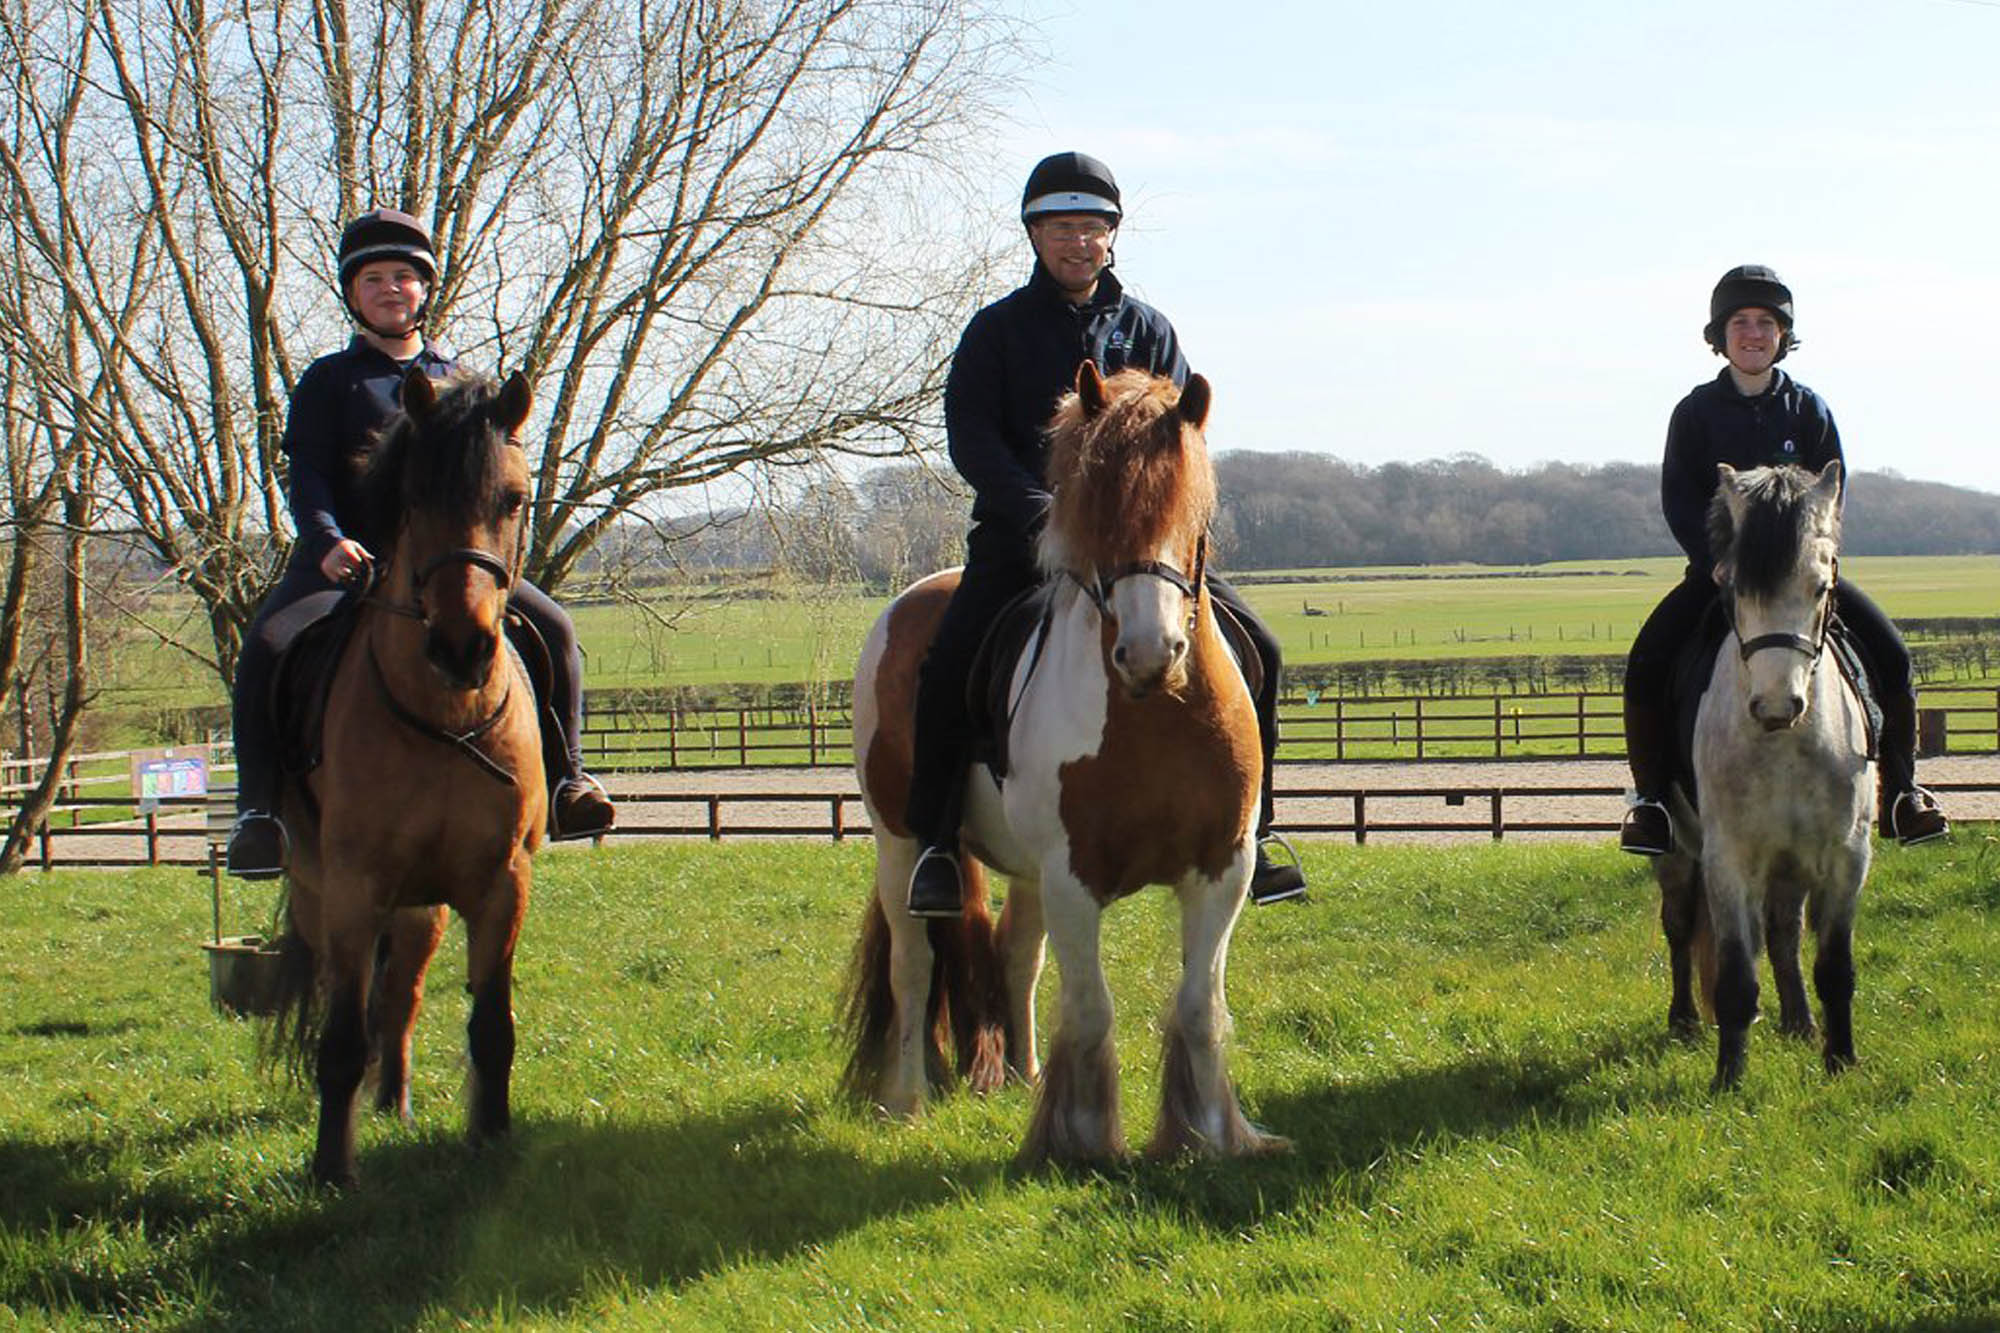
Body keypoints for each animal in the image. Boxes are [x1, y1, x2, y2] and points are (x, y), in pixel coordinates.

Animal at [270, 366, 548, 1184]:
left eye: (512, 498)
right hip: (321, 894)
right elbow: (338, 1038)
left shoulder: (501, 884)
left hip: (420, 909)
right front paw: (332, 1170)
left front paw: (491, 1138)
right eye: (415, 498)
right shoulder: (353, 888)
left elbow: (492, 1025)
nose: (462, 647)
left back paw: (394, 1102)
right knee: (355, 999)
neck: (445, 714)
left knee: (402, 997)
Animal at [840, 364, 1280, 1160]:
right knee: (914, 965)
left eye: (1190, 514)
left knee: (1017, 955)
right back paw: (905, 1100)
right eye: (1095, 516)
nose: (1149, 652)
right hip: (900, 843)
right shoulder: (1074, 878)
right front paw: (1080, 1139)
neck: (1154, 712)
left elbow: (1199, 1005)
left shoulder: (1220, 871)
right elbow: (1092, 1007)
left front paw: (1206, 1134)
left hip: (1025, 869)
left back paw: (1022, 1074)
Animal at [1648, 462, 1864, 1088]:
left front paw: (1840, 1061)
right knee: (1679, 924)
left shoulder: (1847, 856)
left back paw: (1799, 1022)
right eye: (1735, 589)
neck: (1786, 744)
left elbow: (1833, 966)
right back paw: (1685, 1020)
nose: (1775, 706)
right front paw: (1728, 1077)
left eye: (1819, 587)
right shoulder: (1730, 859)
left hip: (1791, 861)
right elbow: (1735, 976)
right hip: (1676, 850)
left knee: (1783, 930)